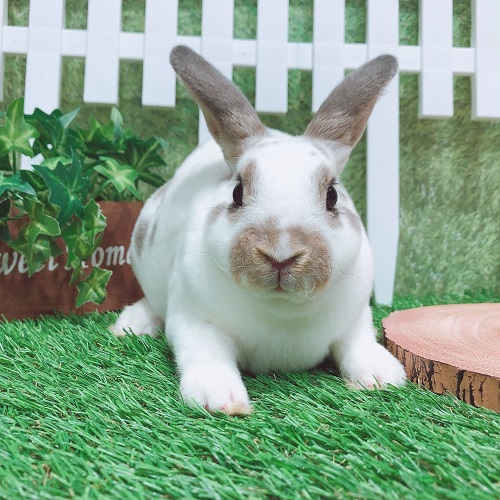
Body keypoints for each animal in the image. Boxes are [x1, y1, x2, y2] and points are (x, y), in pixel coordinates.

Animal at [112, 46, 406, 414]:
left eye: (332, 196)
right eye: (237, 193)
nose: (281, 254)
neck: (281, 312)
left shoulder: (355, 320)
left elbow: (359, 345)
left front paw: (384, 377)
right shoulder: (194, 321)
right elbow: (207, 355)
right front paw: (219, 399)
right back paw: (131, 325)